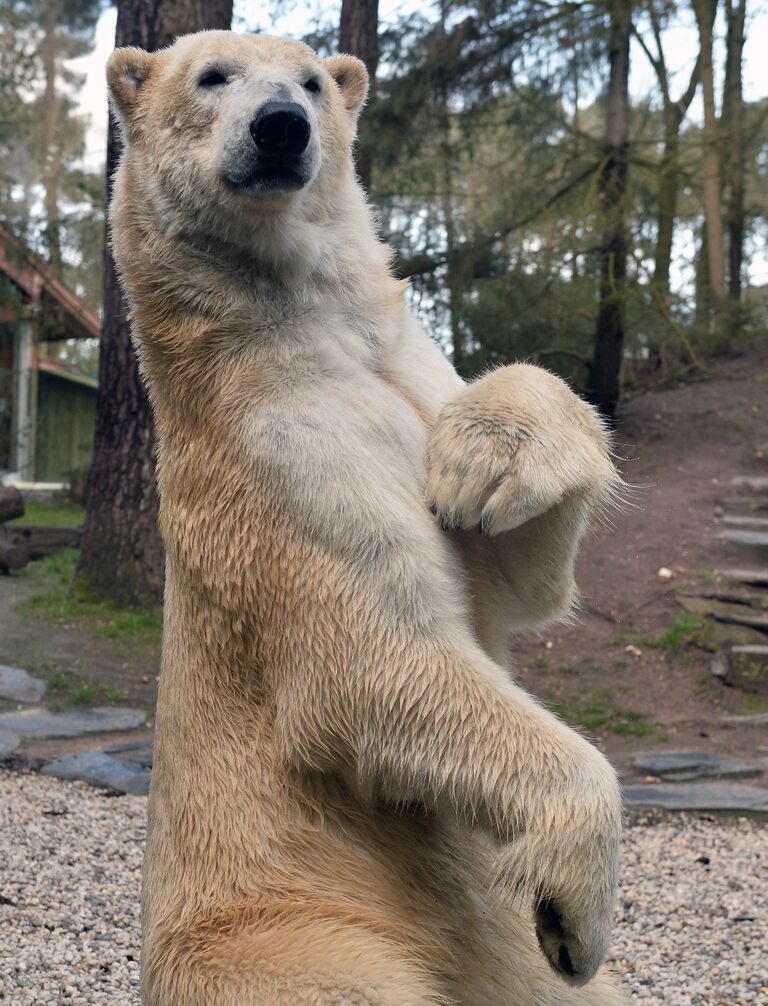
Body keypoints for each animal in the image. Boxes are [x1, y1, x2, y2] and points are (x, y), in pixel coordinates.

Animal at [106, 31, 624, 1006]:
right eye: (213, 76)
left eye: (312, 80)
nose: (280, 127)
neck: (299, 322)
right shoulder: (274, 459)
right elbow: (376, 656)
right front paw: (572, 910)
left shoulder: (401, 368)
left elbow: (513, 578)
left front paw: (482, 462)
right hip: (301, 924)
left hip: (479, 940)